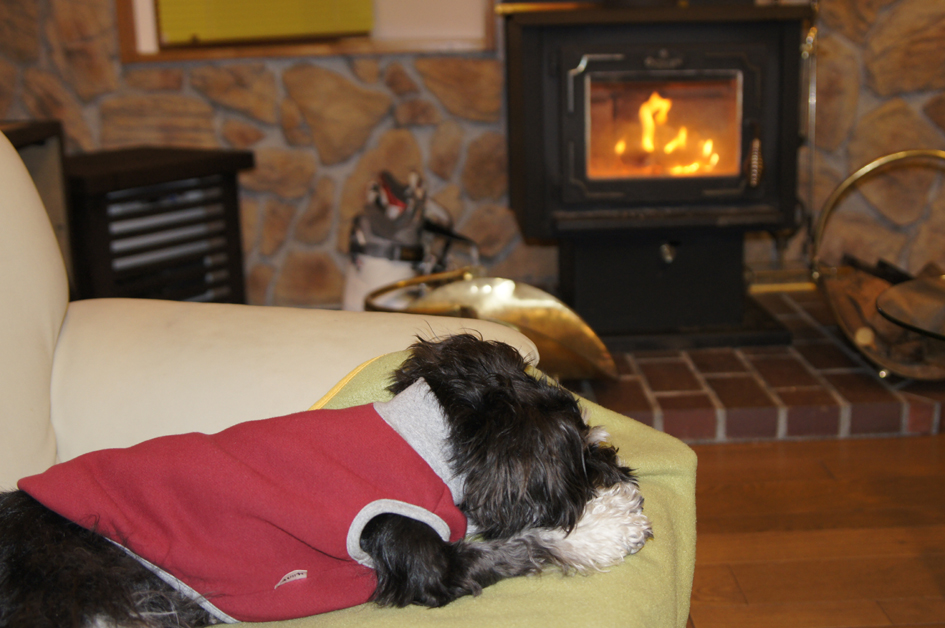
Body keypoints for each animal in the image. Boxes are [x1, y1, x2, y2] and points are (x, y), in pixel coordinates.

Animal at [0, 334, 651, 628]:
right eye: (580, 456)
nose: (625, 466)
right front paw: (607, 529)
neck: (427, 437)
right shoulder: (424, 556)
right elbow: (523, 545)